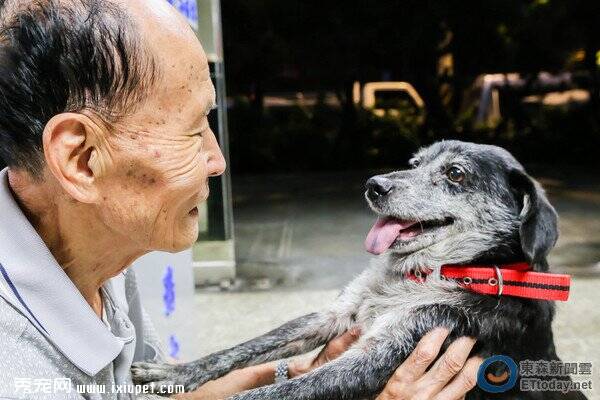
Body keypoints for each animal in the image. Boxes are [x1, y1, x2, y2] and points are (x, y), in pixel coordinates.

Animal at [132, 141, 584, 400]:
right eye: (414, 162)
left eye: (455, 173)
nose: (374, 185)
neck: (429, 273)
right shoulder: (335, 315)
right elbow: (248, 347)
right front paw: (175, 371)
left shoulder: (385, 352)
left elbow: (276, 392)